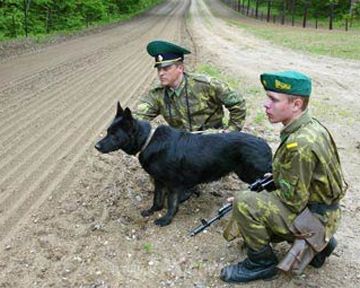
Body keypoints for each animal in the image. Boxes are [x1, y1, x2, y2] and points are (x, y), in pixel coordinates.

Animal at [95, 103, 272, 227]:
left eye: (114, 135)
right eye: (107, 131)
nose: (96, 146)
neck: (148, 140)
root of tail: (265, 144)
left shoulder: (173, 183)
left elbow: (171, 203)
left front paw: (166, 219)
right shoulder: (159, 181)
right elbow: (157, 199)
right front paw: (153, 211)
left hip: (252, 174)